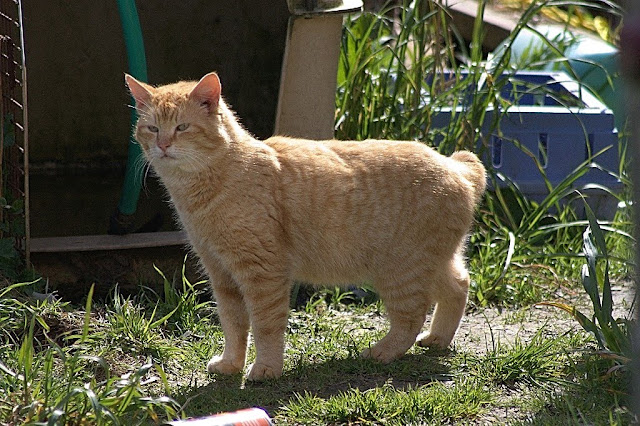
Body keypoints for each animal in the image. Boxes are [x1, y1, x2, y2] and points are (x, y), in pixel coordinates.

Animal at [124, 71, 484, 382]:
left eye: (182, 127)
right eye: (152, 128)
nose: (163, 145)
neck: (201, 189)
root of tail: (452, 164)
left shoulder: (263, 274)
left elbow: (265, 326)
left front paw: (266, 369)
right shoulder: (221, 274)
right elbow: (233, 325)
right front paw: (231, 364)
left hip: (401, 271)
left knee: (411, 317)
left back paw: (381, 352)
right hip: (431, 264)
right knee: (459, 286)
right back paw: (437, 338)